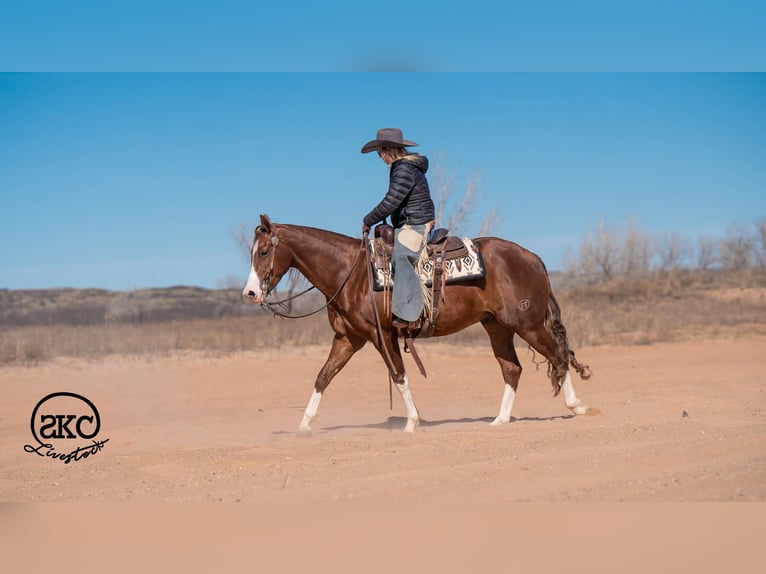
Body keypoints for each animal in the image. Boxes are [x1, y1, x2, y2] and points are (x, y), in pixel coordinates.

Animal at [243, 214, 592, 433]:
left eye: (264, 252)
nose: (250, 293)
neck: (350, 273)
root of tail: (531, 256)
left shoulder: (381, 335)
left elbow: (399, 375)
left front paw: (412, 421)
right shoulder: (348, 339)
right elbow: (323, 377)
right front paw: (304, 425)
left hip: (526, 324)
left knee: (557, 355)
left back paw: (577, 406)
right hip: (497, 326)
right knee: (513, 369)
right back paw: (500, 420)